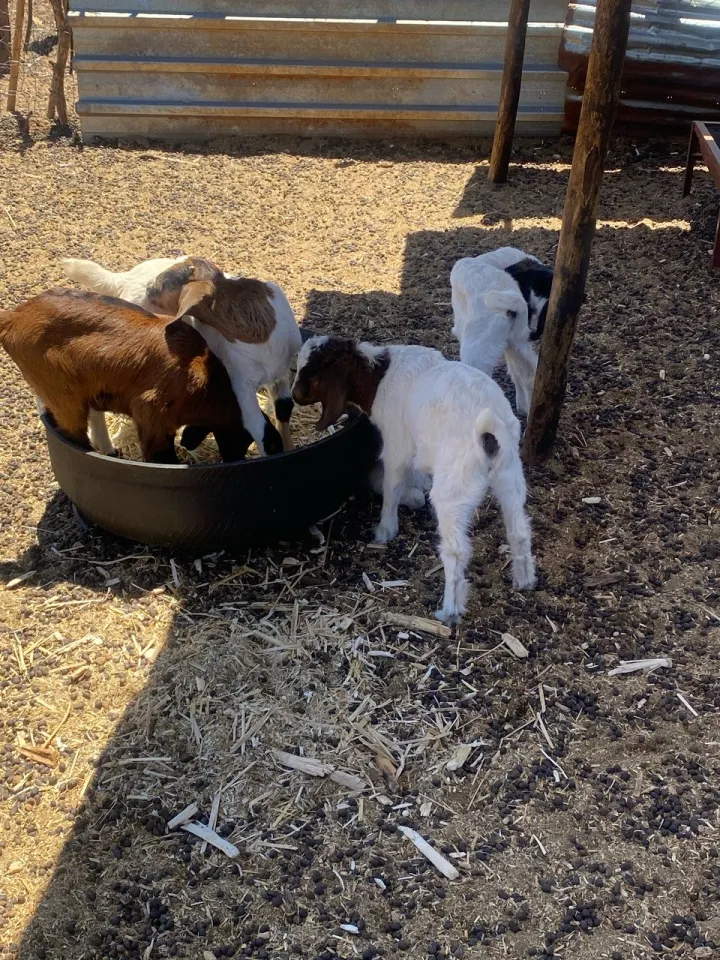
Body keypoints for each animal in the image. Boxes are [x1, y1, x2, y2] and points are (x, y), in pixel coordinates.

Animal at [0, 288, 275, 464]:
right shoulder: (151, 413)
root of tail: (14, 316)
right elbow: (161, 457)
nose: (235, 460)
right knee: (73, 436)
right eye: (243, 439)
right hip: (63, 396)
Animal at [60, 255, 301, 457]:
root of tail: (123, 280)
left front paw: (290, 448)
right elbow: (262, 432)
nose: (150, 288)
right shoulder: (240, 384)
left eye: (166, 285)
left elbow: (284, 408)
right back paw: (106, 447)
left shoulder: (282, 372)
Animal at [292, 336, 536, 624]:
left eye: (315, 372)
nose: (294, 396)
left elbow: (392, 484)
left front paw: (385, 530)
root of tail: (490, 435)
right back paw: (524, 580)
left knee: (455, 551)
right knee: (519, 529)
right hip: (510, 476)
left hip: (453, 491)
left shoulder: (396, 443)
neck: (379, 376)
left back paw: (449, 611)